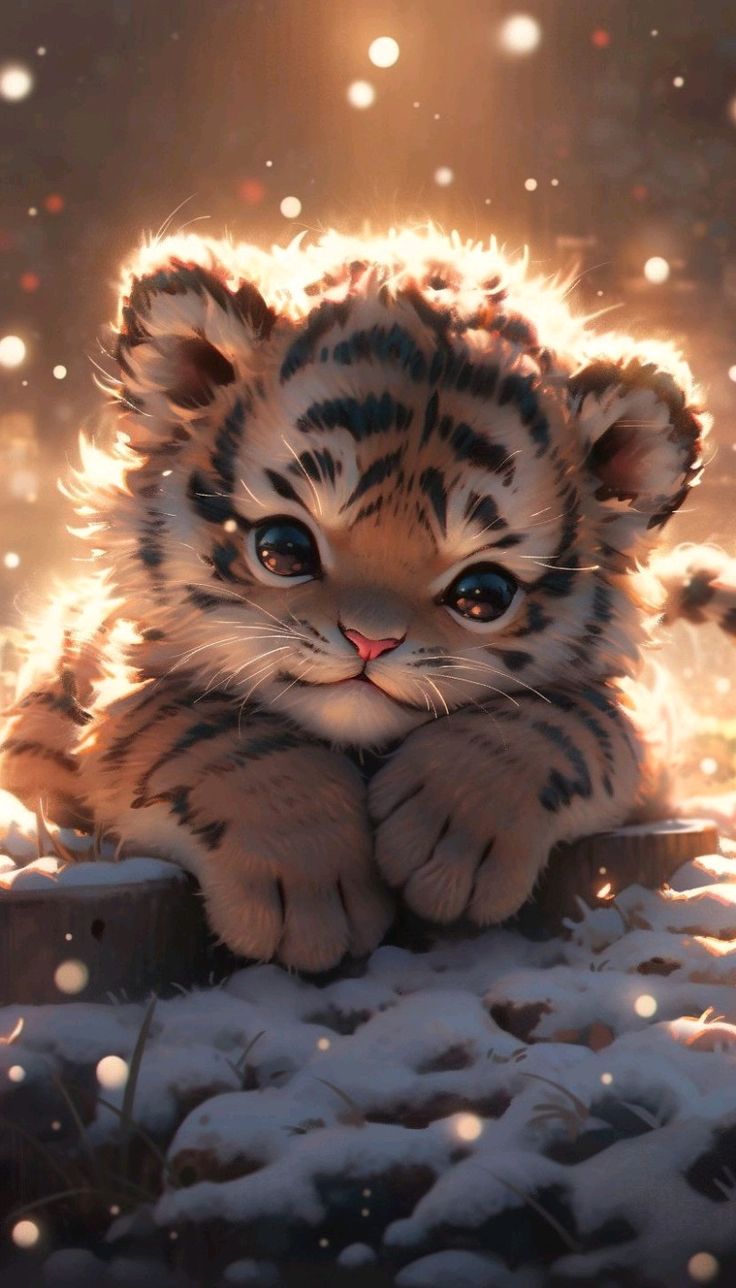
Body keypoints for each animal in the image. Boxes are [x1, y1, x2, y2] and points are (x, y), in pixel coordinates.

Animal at [1, 226, 733, 973]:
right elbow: (203, 727)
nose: (370, 641)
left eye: (483, 594)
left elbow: (564, 719)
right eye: (284, 549)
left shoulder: (641, 733)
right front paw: (306, 893)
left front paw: (450, 841)